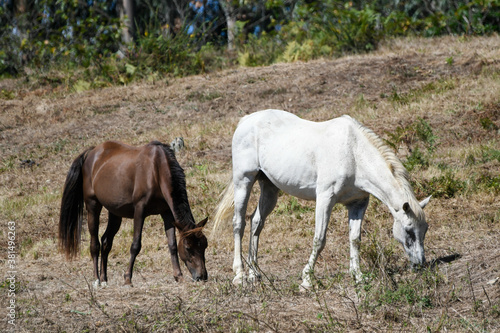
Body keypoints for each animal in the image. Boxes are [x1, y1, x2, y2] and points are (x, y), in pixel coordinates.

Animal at [59, 140, 208, 286]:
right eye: (188, 248)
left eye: (204, 245)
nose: (202, 276)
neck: (157, 170)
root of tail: (92, 152)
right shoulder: (139, 210)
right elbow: (136, 245)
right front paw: (127, 278)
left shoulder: (167, 213)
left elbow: (172, 244)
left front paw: (178, 276)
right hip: (92, 206)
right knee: (94, 244)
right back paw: (96, 280)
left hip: (115, 213)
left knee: (106, 242)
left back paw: (104, 279)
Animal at [213, 109, 432, 288]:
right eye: (409, 230)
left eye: (425, 230)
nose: (420, 264)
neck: (353, 153)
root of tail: (246, 120)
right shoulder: (326, 199)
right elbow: (319, 239)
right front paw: (307, 279)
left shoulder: (358, 204)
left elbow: (355, 239)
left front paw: (358, 276)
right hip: (243, 181)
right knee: (239, 223)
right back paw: (240, 274)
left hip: (269, 188)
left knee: (256, 222)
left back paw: (254, 273)